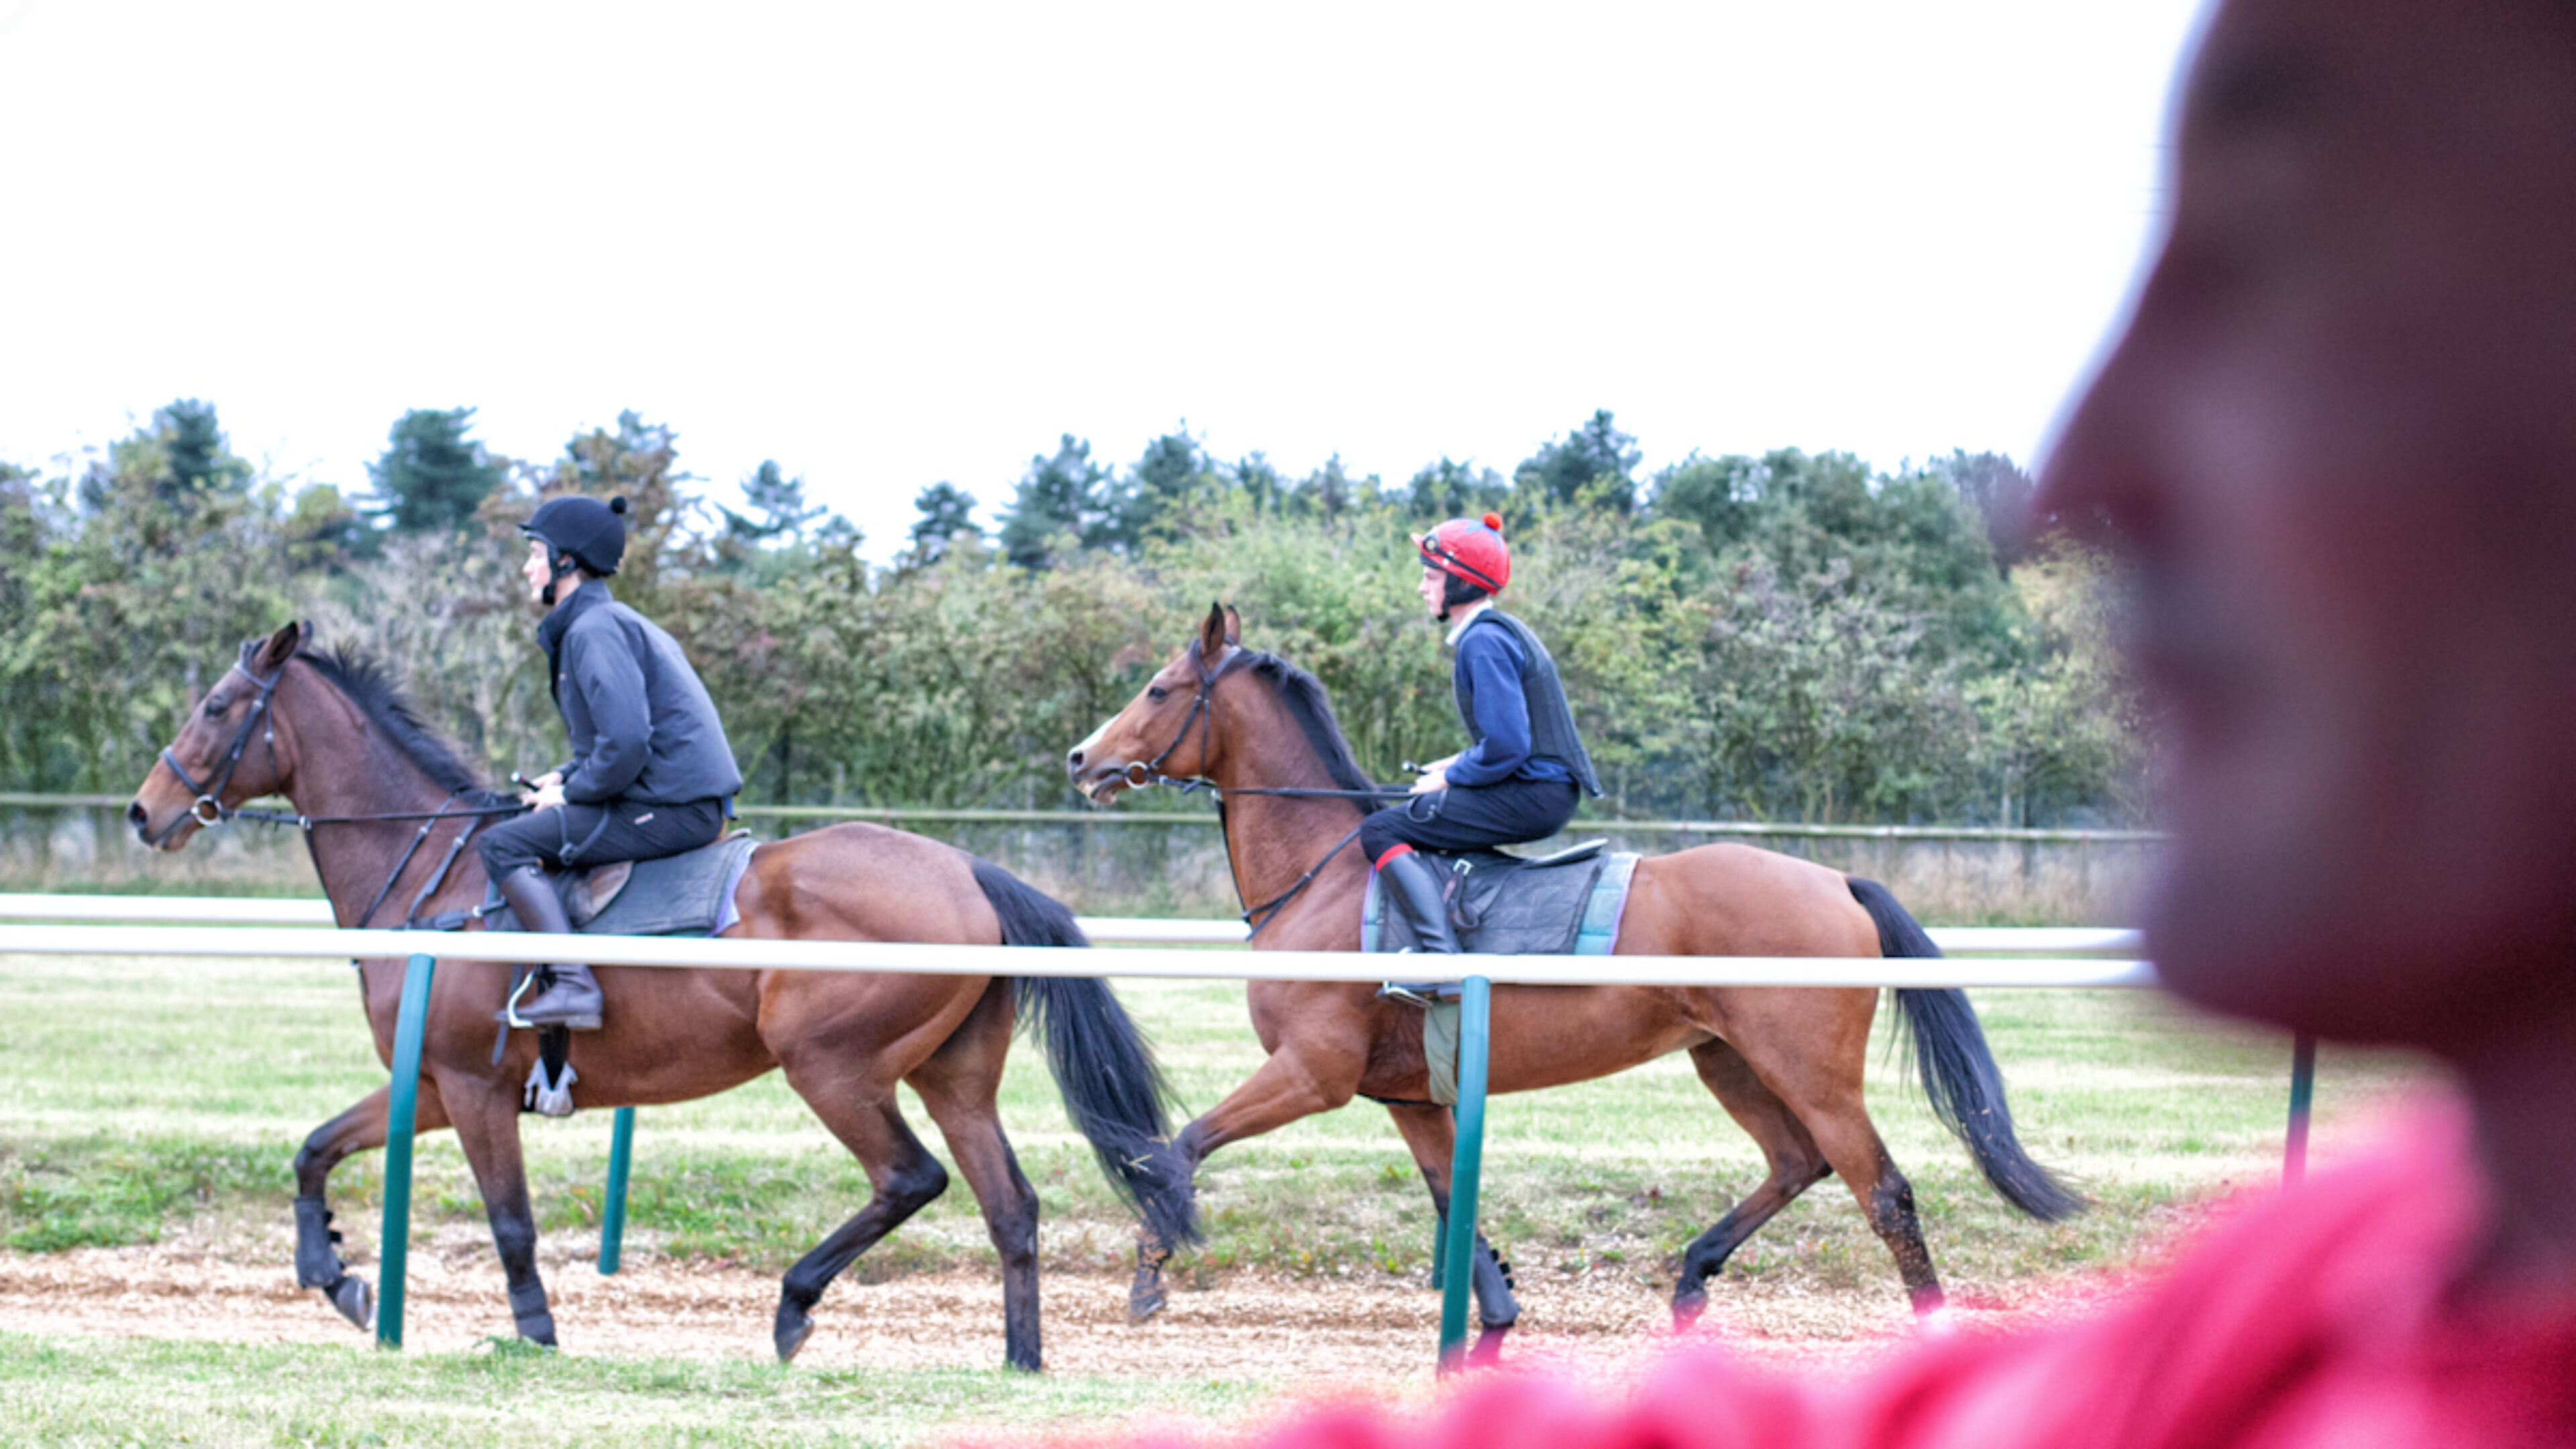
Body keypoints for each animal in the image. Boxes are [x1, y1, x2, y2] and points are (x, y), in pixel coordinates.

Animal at [126, 621, 1193, 1371]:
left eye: (216, 707)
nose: (146, 811)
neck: (436, 872)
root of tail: (969, 869)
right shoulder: (429, 1086)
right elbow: (314, 1149)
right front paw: (332, 1275)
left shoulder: (472, 1090)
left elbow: (510, 1222)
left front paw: (534, 1331)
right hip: (953, 1079)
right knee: (1010, 1207)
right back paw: (1020, 1360)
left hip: (832, 1068)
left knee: (909, 1179)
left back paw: (796, 1302)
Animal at [1064, 604, 2082, 1362]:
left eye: (1157, 689)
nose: (1081, 759)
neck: (1323, 876)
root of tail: (1836, 879)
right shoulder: (1409, 1098)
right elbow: (1453, 1200)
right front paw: (1496, 1322)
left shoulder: (1310, 1076)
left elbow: (1177, 1147)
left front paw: (1151, 1271)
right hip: (1729, 1060)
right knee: (1798, 1163)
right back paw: (1691, 1275)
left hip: (1811, 1070)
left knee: (1884, 1191)